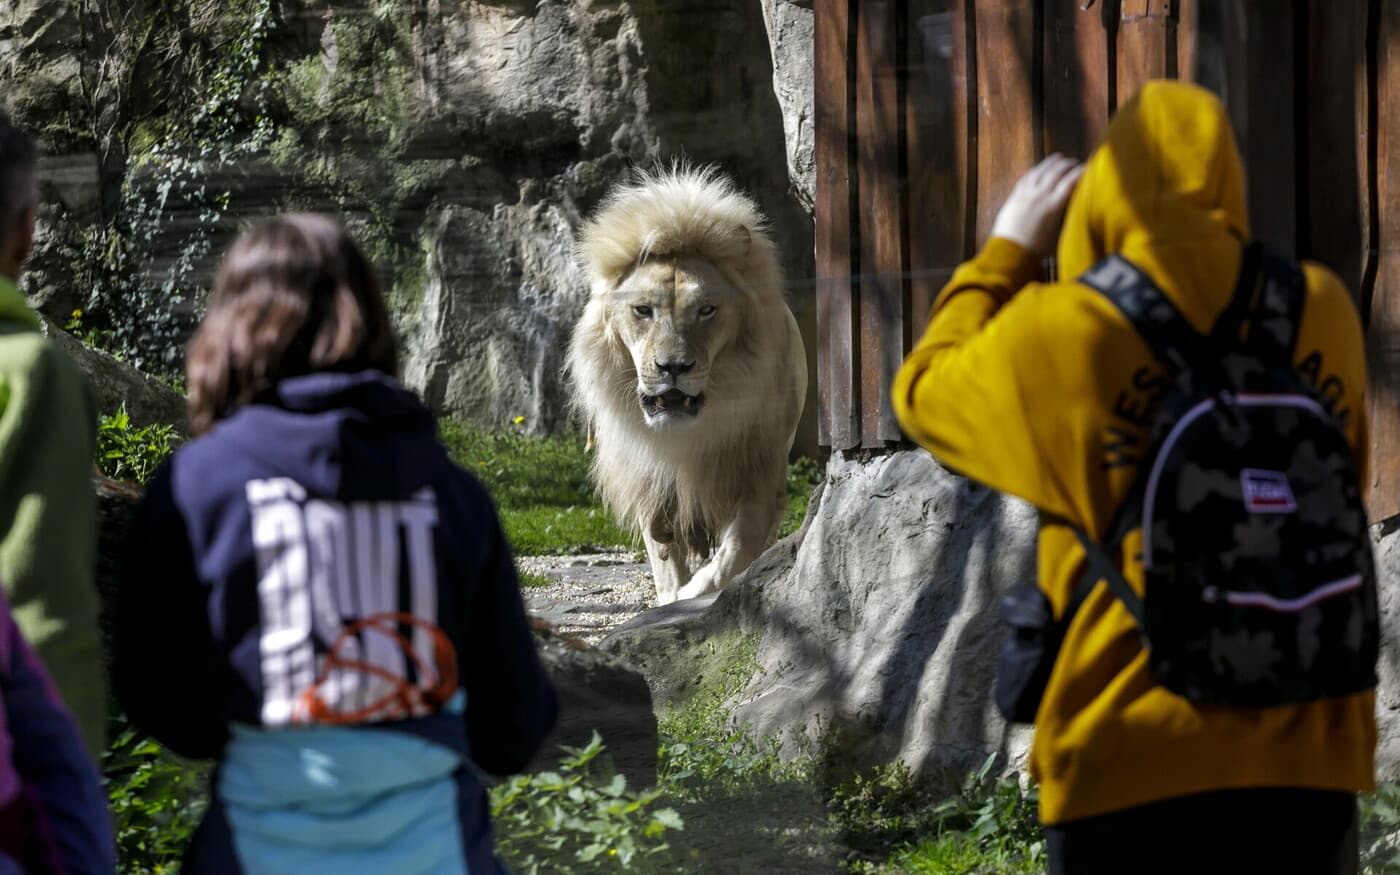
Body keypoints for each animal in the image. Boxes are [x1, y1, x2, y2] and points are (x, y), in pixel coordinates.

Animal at [568, 167, 812, 604]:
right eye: (642, 310)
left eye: (707, 310)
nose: (673, 367)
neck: (688, 435)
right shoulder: (650, 484)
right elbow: (665, 558)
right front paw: (672, 597)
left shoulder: (758, 475)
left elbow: (735, 552)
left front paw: (695, 594)